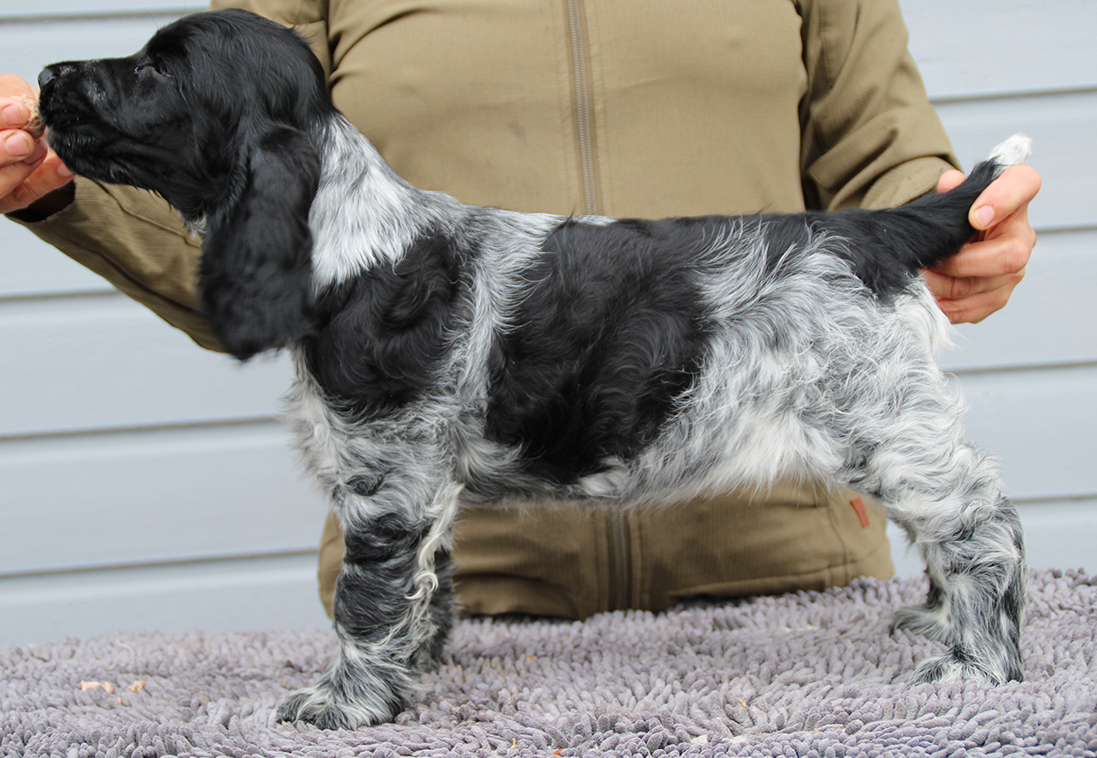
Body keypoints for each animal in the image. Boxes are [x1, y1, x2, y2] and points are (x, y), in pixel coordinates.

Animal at [37, 9, 1029, 730]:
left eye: (159, 70)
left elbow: (365, 598)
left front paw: (344, 703)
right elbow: (424, 583)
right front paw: (414, 671)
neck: (354, 244)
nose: (44, 77)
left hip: (876, 418)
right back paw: (940, 622)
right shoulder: (421, 479)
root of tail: (870, 229)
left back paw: (975, 662)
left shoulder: (386, 476)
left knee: (981, 523)